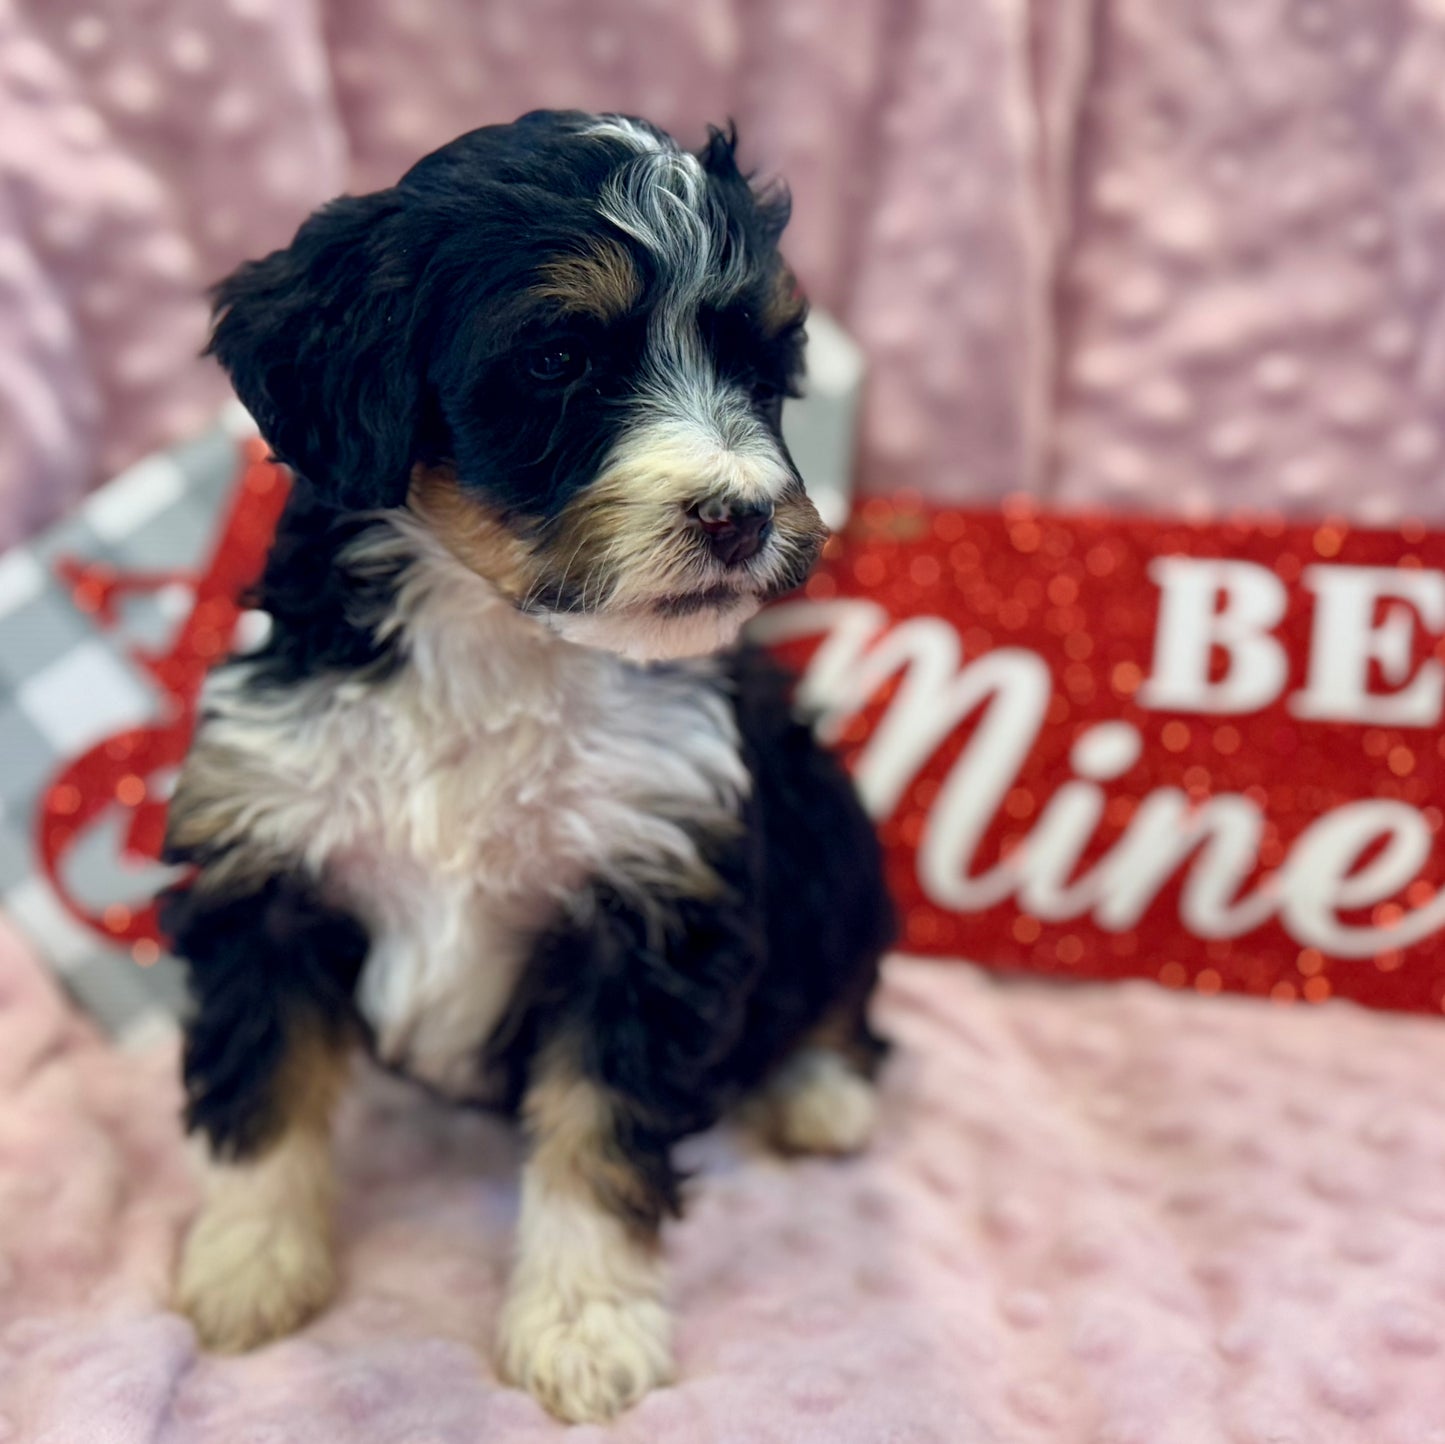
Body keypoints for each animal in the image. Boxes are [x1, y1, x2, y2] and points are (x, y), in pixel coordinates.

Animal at [166, 109, 890, 1422]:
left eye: (759, 367)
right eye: (557, 359)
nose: (741, 514)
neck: (496, 637)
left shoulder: (653, 902)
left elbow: (595, 1131)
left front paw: (584, 1328)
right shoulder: (266, 853)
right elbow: (261, 1080)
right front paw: (247, 1271)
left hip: (835, 838)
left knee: (843, 986)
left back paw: (818, 1090)